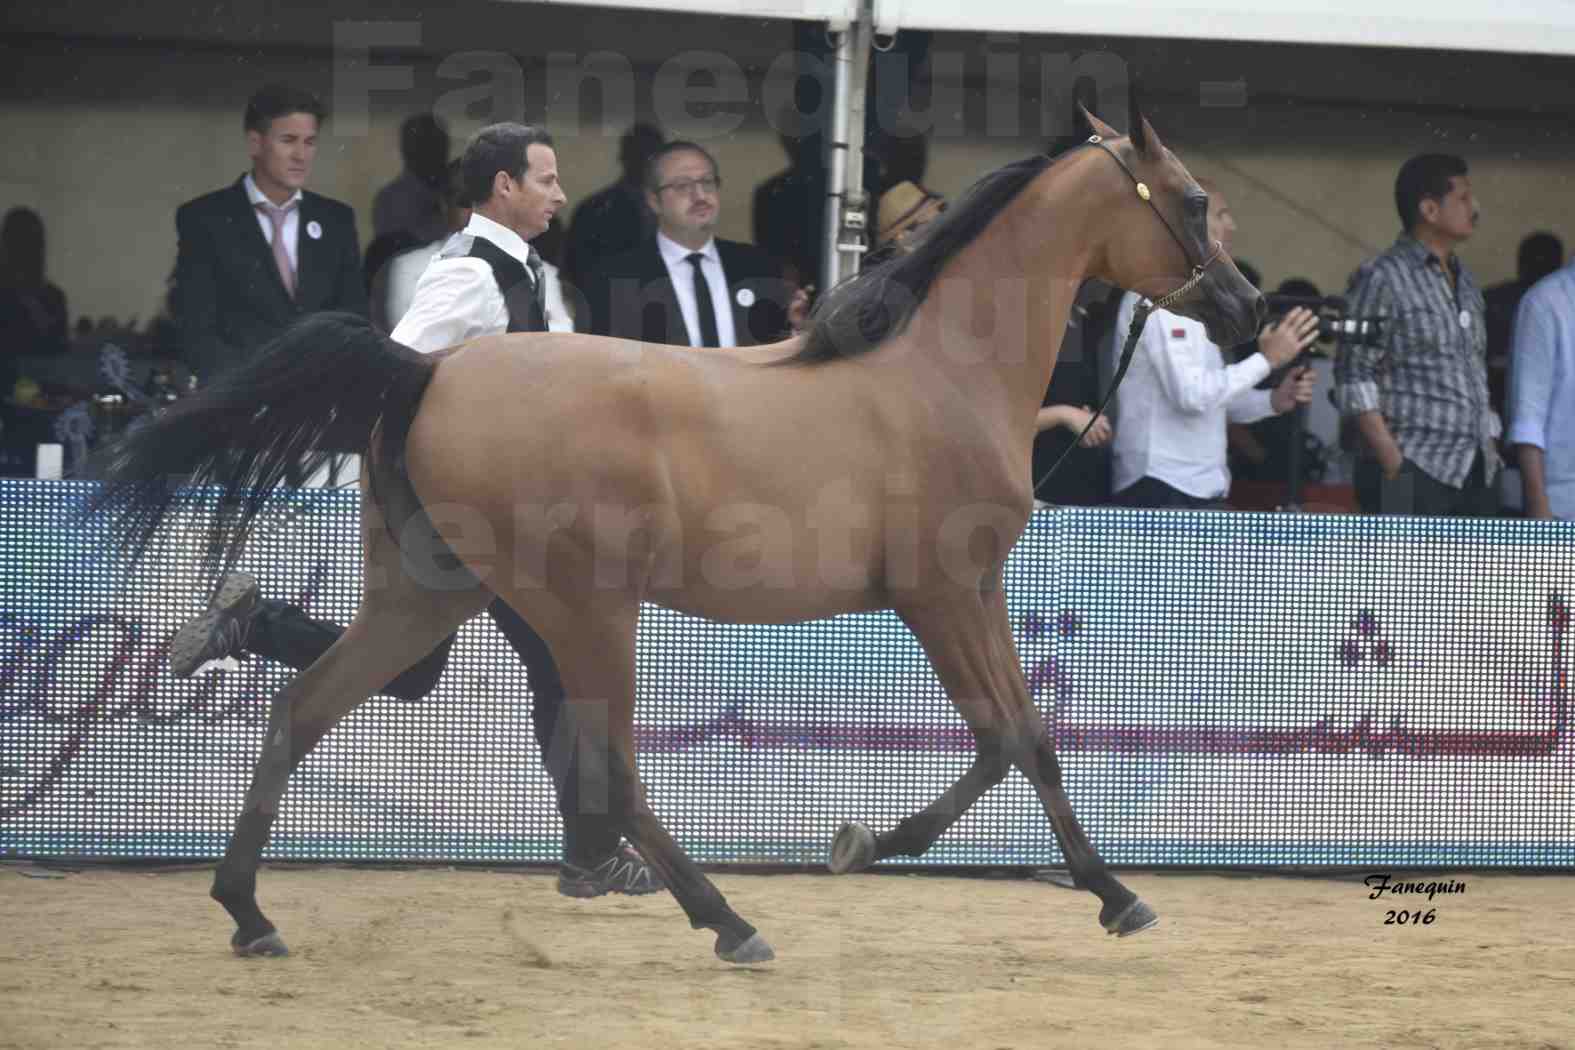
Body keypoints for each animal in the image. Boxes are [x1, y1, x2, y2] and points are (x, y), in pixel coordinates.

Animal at [89, 108, 1266, 969]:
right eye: (1196, 199)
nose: (1249, 307)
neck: (939, 373)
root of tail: (424, 369)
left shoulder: (963, 594)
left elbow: (1012, 740)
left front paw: (905, 850)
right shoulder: (943, 592)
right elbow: (1016, 739)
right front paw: (1090, 890)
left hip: (433, 594)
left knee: (306, 706)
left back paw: (248, 908)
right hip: (583, 608)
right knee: (608, 766)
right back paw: (729, 923)